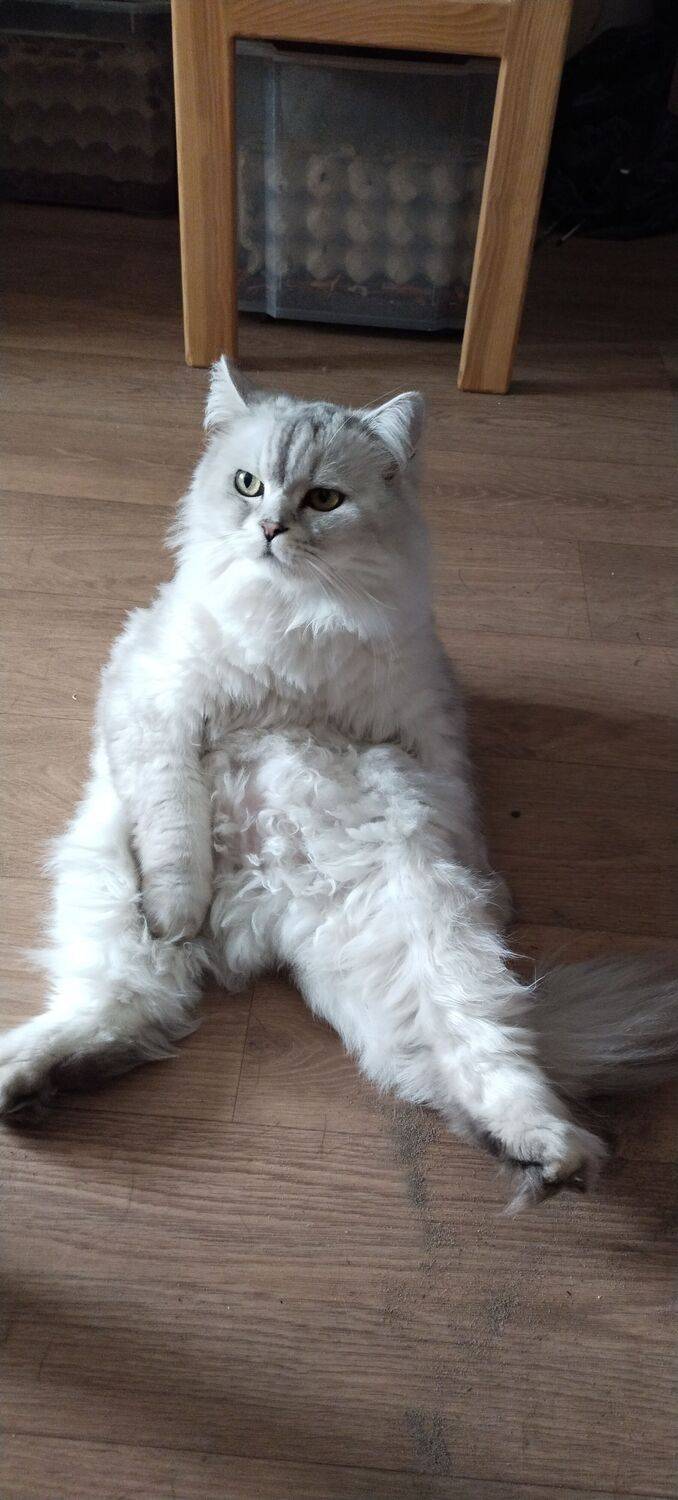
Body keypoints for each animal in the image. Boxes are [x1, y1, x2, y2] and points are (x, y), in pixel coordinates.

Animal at [1, 358, 675, 1209]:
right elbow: (179, 831)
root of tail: (255, 923)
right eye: (249, 485)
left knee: (476, 1061)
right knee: (138, 1008)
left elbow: (461, 796)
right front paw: (183, 907)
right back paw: (30, 1080)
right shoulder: (156, 702)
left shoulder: (424, 719)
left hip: (430, 933)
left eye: (323, 500)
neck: (294, 617)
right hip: (107, 879)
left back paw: (546, 1156)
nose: (269, 530)